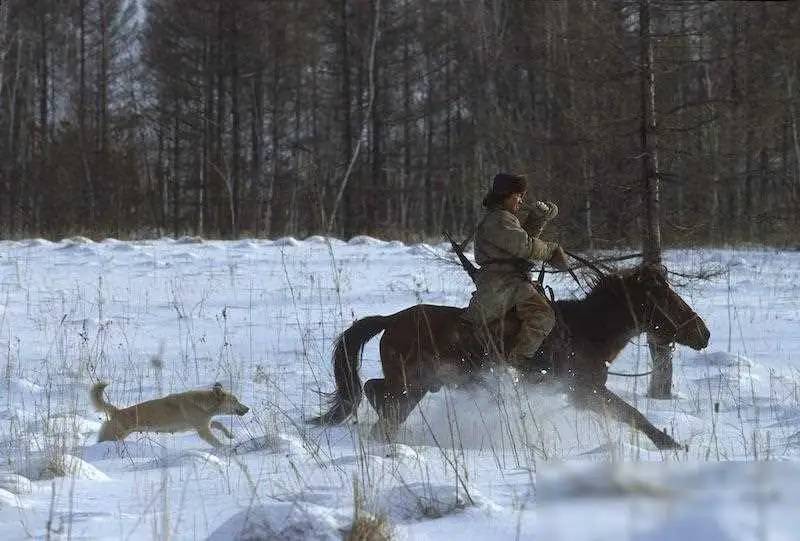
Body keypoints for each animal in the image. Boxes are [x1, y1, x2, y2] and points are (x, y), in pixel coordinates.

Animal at [310, 264, 708, 450]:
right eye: (663, 297)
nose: (702, 333)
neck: (586, 329)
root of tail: (391, 319)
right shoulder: (584, 391)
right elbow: (633, 414)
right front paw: (670, 444)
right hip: (411, 380)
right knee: (377, 391)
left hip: (419, 385)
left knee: (381, 395)